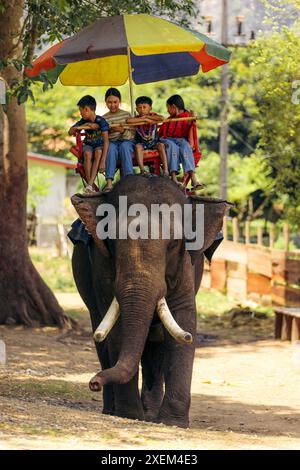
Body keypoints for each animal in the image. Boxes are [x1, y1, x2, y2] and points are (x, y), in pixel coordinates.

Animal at [69, 174, 230, 428]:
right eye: (112, 241)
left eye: (173, 243)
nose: (93, 383)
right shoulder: (101, 263)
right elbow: (117, 327)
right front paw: (129, 415)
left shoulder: (186, 265)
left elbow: (184, 317)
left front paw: (173, 422)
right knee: (103, 338)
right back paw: (113, 410)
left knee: (157, 343)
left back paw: (151, 416)